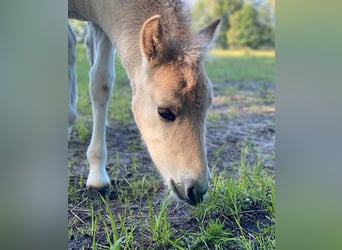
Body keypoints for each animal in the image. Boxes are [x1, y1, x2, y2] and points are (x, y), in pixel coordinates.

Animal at [68, 0, 220, 205]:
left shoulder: (103, 21)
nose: (196, 190)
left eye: (206, 108)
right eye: (164, 112)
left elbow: (101, 81)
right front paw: (97, 181)